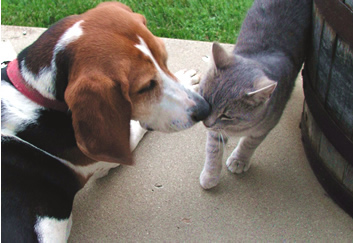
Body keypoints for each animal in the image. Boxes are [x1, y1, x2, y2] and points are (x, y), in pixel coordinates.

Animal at [0, 2, 209, 243]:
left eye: (165, 61)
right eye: (145, 87)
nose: (204, 109)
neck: (32, 93)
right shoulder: (108, 156)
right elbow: (134, 126)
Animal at [198, 0, 310, 190]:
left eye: (227, 115)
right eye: (206, 100)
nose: (206, 123)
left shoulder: (265, 126)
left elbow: (248, 144)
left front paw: (239, 160)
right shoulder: (215, 131)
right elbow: (214, 149)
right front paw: (211, 175)